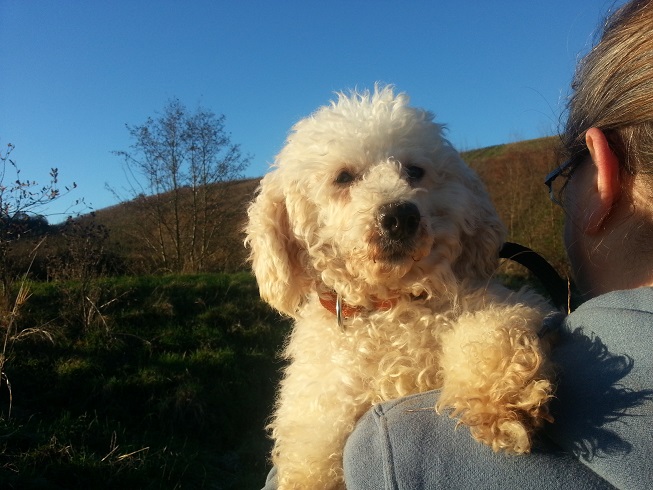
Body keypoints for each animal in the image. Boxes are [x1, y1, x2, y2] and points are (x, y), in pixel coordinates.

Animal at [245, 86, 555, 489]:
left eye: (414, 171)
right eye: (343, 177)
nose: (400, 216)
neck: (388, 310)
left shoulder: (501, 302)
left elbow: (488, 332)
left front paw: (501, 402)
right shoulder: (317, 417)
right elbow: (310, 465)